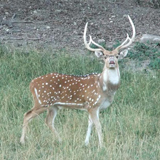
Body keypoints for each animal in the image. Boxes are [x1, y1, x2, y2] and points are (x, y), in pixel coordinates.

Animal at [19, 15, 135, 148]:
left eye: (117, 56)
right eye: (105, 56)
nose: (111, 62)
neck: (106, 89)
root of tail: (31, 83)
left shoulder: (92, 106)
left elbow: (90, 124)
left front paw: (86, 143)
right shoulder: (93, 103)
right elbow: (98, 125)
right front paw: (102, 146)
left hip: (53, 106)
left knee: (48, 121)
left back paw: (60, 140)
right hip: (42, 101)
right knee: (27, 115)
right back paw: (22, 141)